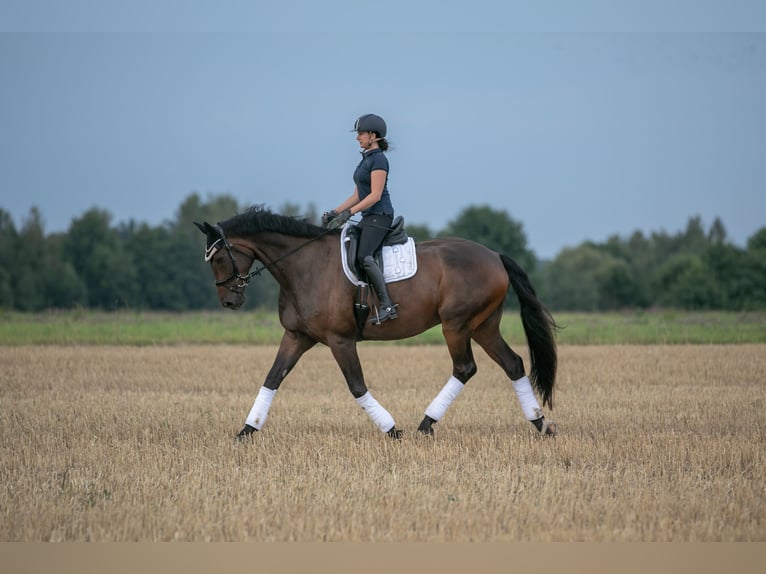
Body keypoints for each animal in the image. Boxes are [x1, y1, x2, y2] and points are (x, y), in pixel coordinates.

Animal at [195, 207, 560, 440]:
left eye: (219, 258)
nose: (229, 302)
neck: (304, 266)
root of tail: (494, 256)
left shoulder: (340, 340)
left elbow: (356, 385)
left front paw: (392, 430)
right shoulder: (296, 336)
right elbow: (272, 378)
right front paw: (246, 430)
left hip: (456, 325)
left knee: (465, 368)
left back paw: (425, 425)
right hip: (483, 326)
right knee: (513, 363)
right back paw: (540, 424)